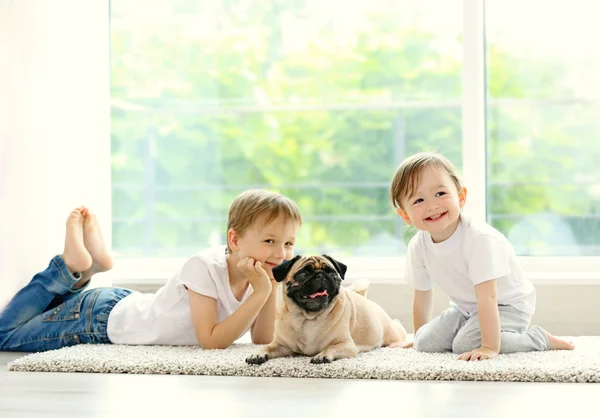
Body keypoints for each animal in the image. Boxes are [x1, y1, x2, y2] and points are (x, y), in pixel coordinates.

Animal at [245, 253, 408, 364]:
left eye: (332, 273)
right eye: (303, 274)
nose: (321, 276)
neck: (308, 318)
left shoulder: (346, 345)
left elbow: (330, 348)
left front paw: (322, 355)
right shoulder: (281, 345)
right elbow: (267, 347)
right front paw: (257, 353)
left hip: (392, 332)